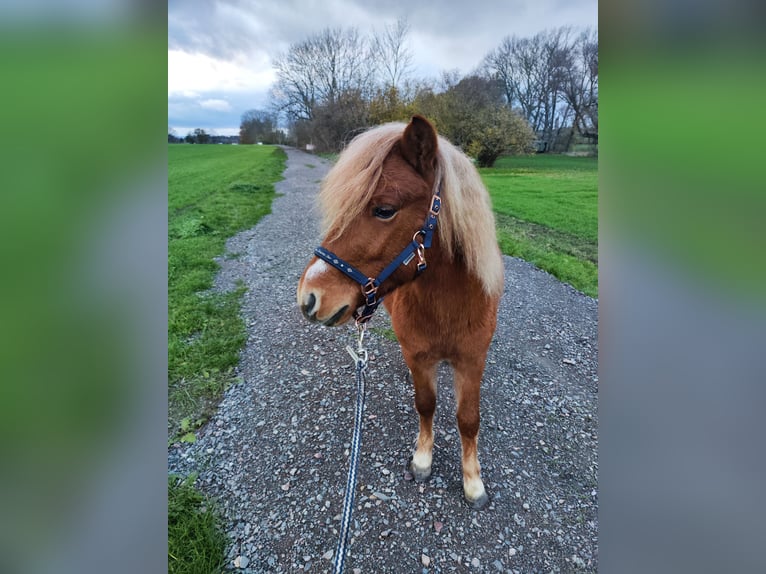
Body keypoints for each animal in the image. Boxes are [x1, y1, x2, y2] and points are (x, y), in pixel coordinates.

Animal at [296, 116, 508, 508]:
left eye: (384, 209)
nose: (309, 297)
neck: (450, 305)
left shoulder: (472, 360)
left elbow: (468, 419)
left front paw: (473, 481)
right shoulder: (419, 357)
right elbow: (425, 404)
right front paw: (423, 459)